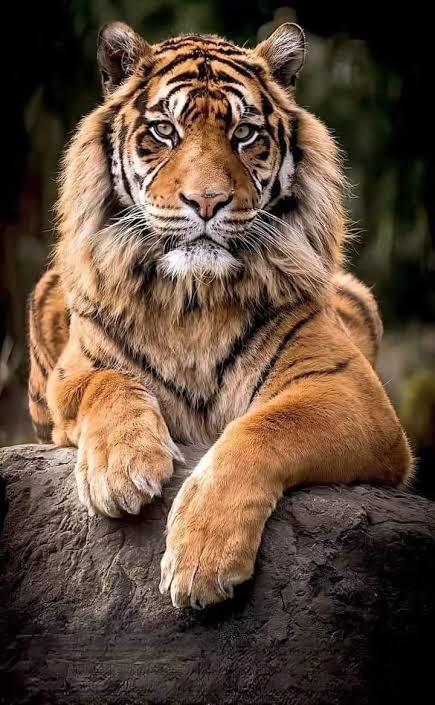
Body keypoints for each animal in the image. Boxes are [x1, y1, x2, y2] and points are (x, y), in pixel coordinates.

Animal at [28, 21, 413, 609]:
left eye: (245, 134)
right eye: (164, 131)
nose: (206, 202)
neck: (193, 299)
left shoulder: (353, 393)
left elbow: (267, 426)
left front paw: (200, 560)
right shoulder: (73, 372)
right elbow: (108, 383)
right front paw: (121, 470)